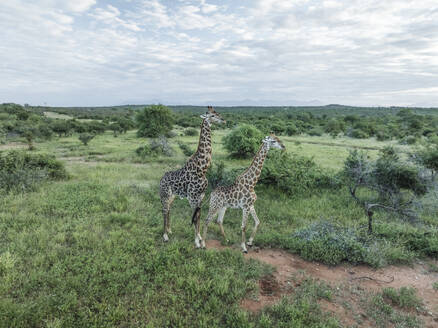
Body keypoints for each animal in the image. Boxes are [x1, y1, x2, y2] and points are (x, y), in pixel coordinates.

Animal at [159, 106, 224, 247]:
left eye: (217, 112)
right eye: (211, 115)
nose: (223, 120)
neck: (202, 168)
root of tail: (161, 179)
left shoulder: (201, 196)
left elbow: (198, 216)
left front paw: (199, 237)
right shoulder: (192, 197)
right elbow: (194, 218)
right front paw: (197, 242)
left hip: (172, 196)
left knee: (169, 210)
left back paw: (170, 230)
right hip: (165, 195)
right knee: (164, 210)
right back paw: (165, 235)